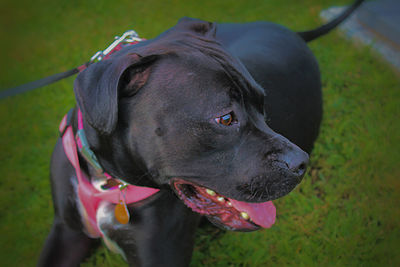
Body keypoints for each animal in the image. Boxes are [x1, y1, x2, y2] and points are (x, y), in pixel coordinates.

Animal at [39, 1, 364, 266]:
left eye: (263, 105)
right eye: (225, 118)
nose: (301, 162)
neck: (106, 182)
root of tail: (293, 33)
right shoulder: (67, 232)